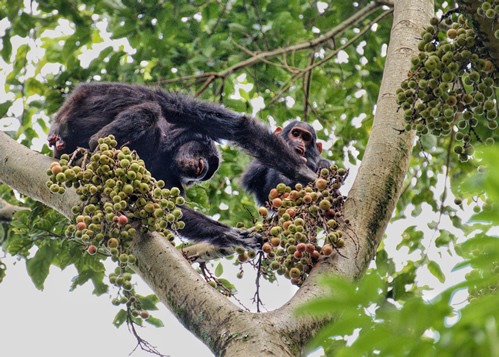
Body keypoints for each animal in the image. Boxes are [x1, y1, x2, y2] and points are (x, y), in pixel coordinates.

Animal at [47, 81, 316, 248]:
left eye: (205, 174)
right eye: (206, 156)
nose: (201, 169)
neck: (166, 151)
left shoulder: (172, 179)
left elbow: (169, 208)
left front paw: (230, 235)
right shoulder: (185, 111)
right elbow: (239, 128)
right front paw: (305, 173)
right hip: (77, 119)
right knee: (149, 109)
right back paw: (96, 147)